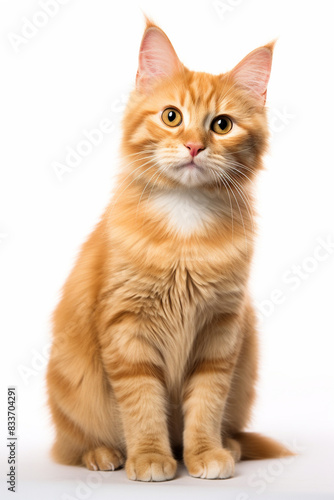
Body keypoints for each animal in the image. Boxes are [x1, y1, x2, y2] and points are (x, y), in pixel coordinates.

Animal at [47, 19, 292, 480]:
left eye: (222, 125)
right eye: (172, 116)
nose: (195, 146)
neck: (185, 224)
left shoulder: (220, 330)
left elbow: (206, 403)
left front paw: (205, 453)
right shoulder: (126, 328)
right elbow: (143, 404)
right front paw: (149, 457)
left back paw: (229, 446)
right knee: (72, 445)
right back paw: (102, 454)